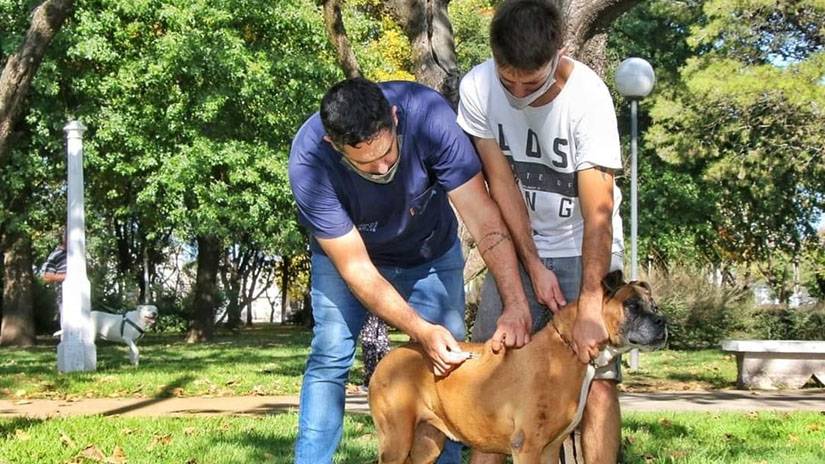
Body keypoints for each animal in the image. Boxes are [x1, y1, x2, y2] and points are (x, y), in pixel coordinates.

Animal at [370, 270, 668, 462]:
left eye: (654, 305)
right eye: (631, 305)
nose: (662, 320)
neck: (566, 348)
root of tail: (392, 356)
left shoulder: (550, 448)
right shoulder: (528, 446)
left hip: (427, 443)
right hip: (396, 441)